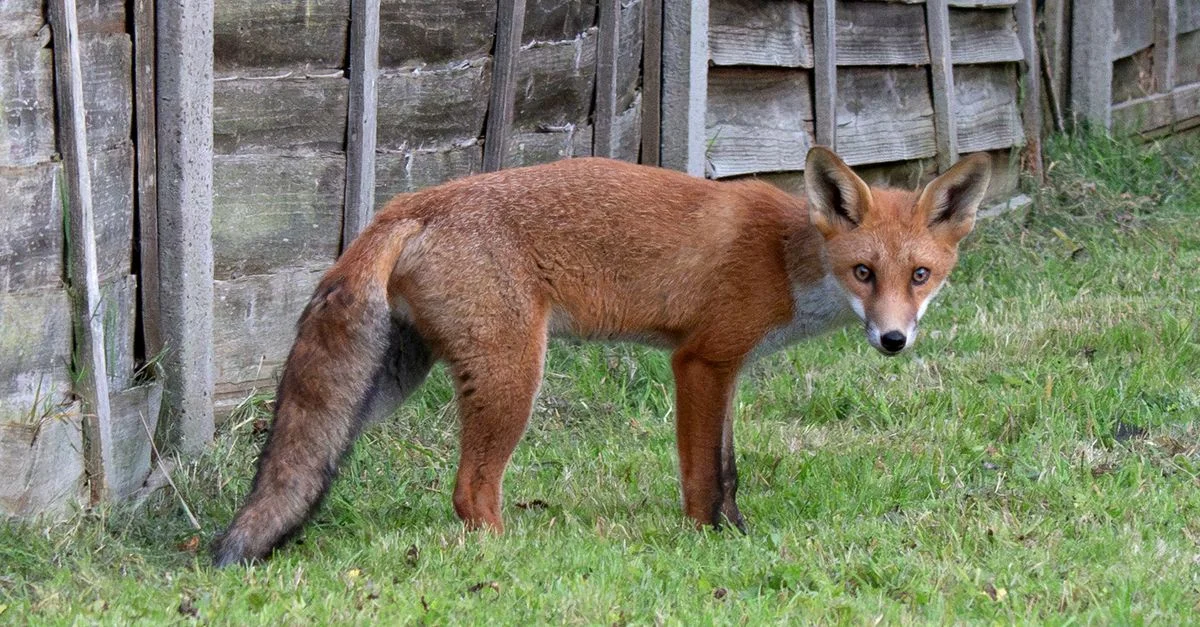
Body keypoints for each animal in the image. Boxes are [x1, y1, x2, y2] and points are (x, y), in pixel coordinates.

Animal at [211, 147, 991, 567]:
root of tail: (409, 202)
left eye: (920, 276)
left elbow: (730, 470)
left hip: (384, 385)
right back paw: (511, 555)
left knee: (305, 460)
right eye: (864, 272)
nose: (894, 340)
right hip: (512, 374)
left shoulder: (730, 369)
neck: (784, 259)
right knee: (470, 491)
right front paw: (709, 542)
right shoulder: (701, 362)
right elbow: (704, 477)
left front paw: (739, 534)